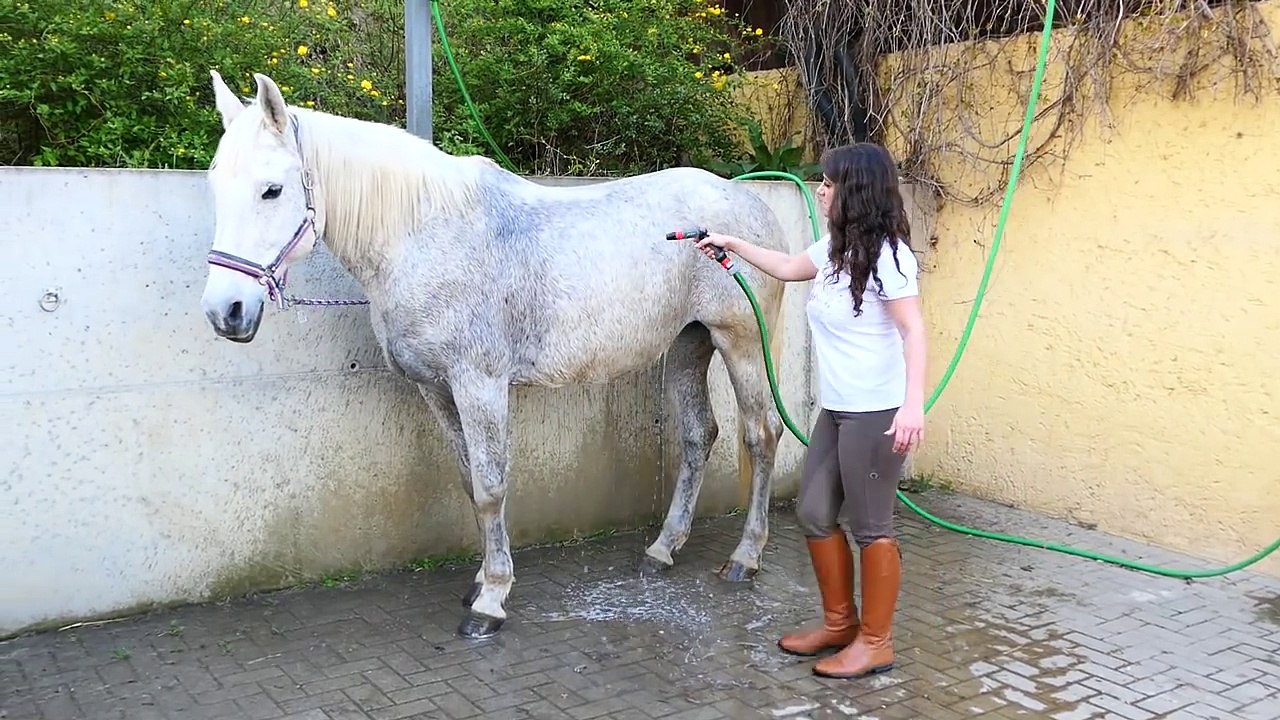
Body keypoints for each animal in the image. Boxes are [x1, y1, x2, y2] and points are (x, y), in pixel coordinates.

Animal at [199, 71, 790, 639]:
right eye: (215, 185)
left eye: (272, 190)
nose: (225, 311)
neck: (426, 238)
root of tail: (750, 205)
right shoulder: (436, 389)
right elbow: (469, 483)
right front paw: (483, 580)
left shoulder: (478, 383)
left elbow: (490, 486)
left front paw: (491, 601)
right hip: (689, 342)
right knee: (698, 436)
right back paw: (662, 550)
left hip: (738, 341)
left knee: (761, 435)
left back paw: (745, 557)